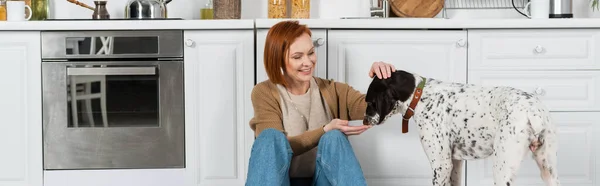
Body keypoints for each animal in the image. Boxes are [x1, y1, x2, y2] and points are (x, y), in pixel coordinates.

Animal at [360, 70, 564, 186]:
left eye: (370, 102)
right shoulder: (455, 163)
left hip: (502, 167)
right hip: (548, 170)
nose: (364, 121)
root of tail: (533, 111)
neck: (420, 95)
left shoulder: (441, 164)